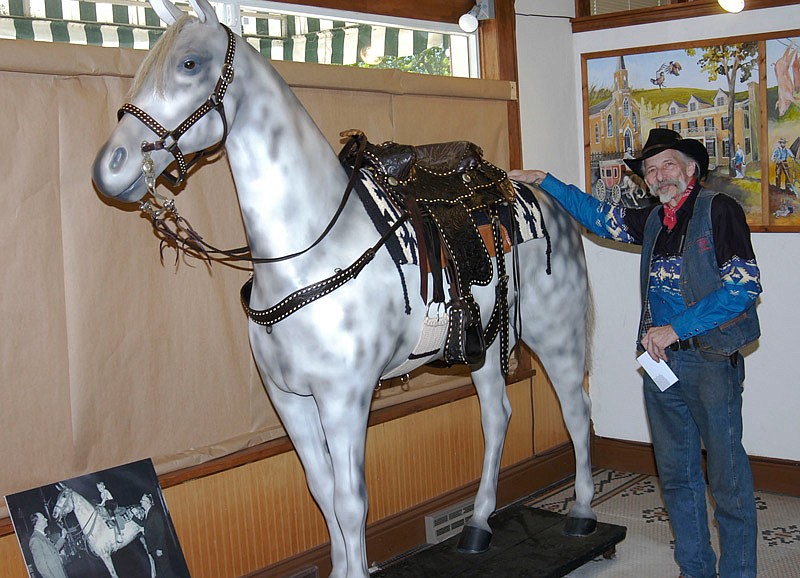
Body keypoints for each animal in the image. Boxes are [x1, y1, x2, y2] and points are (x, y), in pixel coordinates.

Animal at [92, 2, 592, 572]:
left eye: (189, 63)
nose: (111, 166)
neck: (307, 255)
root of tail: (546, 201)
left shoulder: (344, 399)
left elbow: (352, 502)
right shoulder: (290, 399)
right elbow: (322, 490)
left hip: (558, 337)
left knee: (577, 412)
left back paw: (580, 513)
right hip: (481, 345)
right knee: (497, 415)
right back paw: (479, 524)